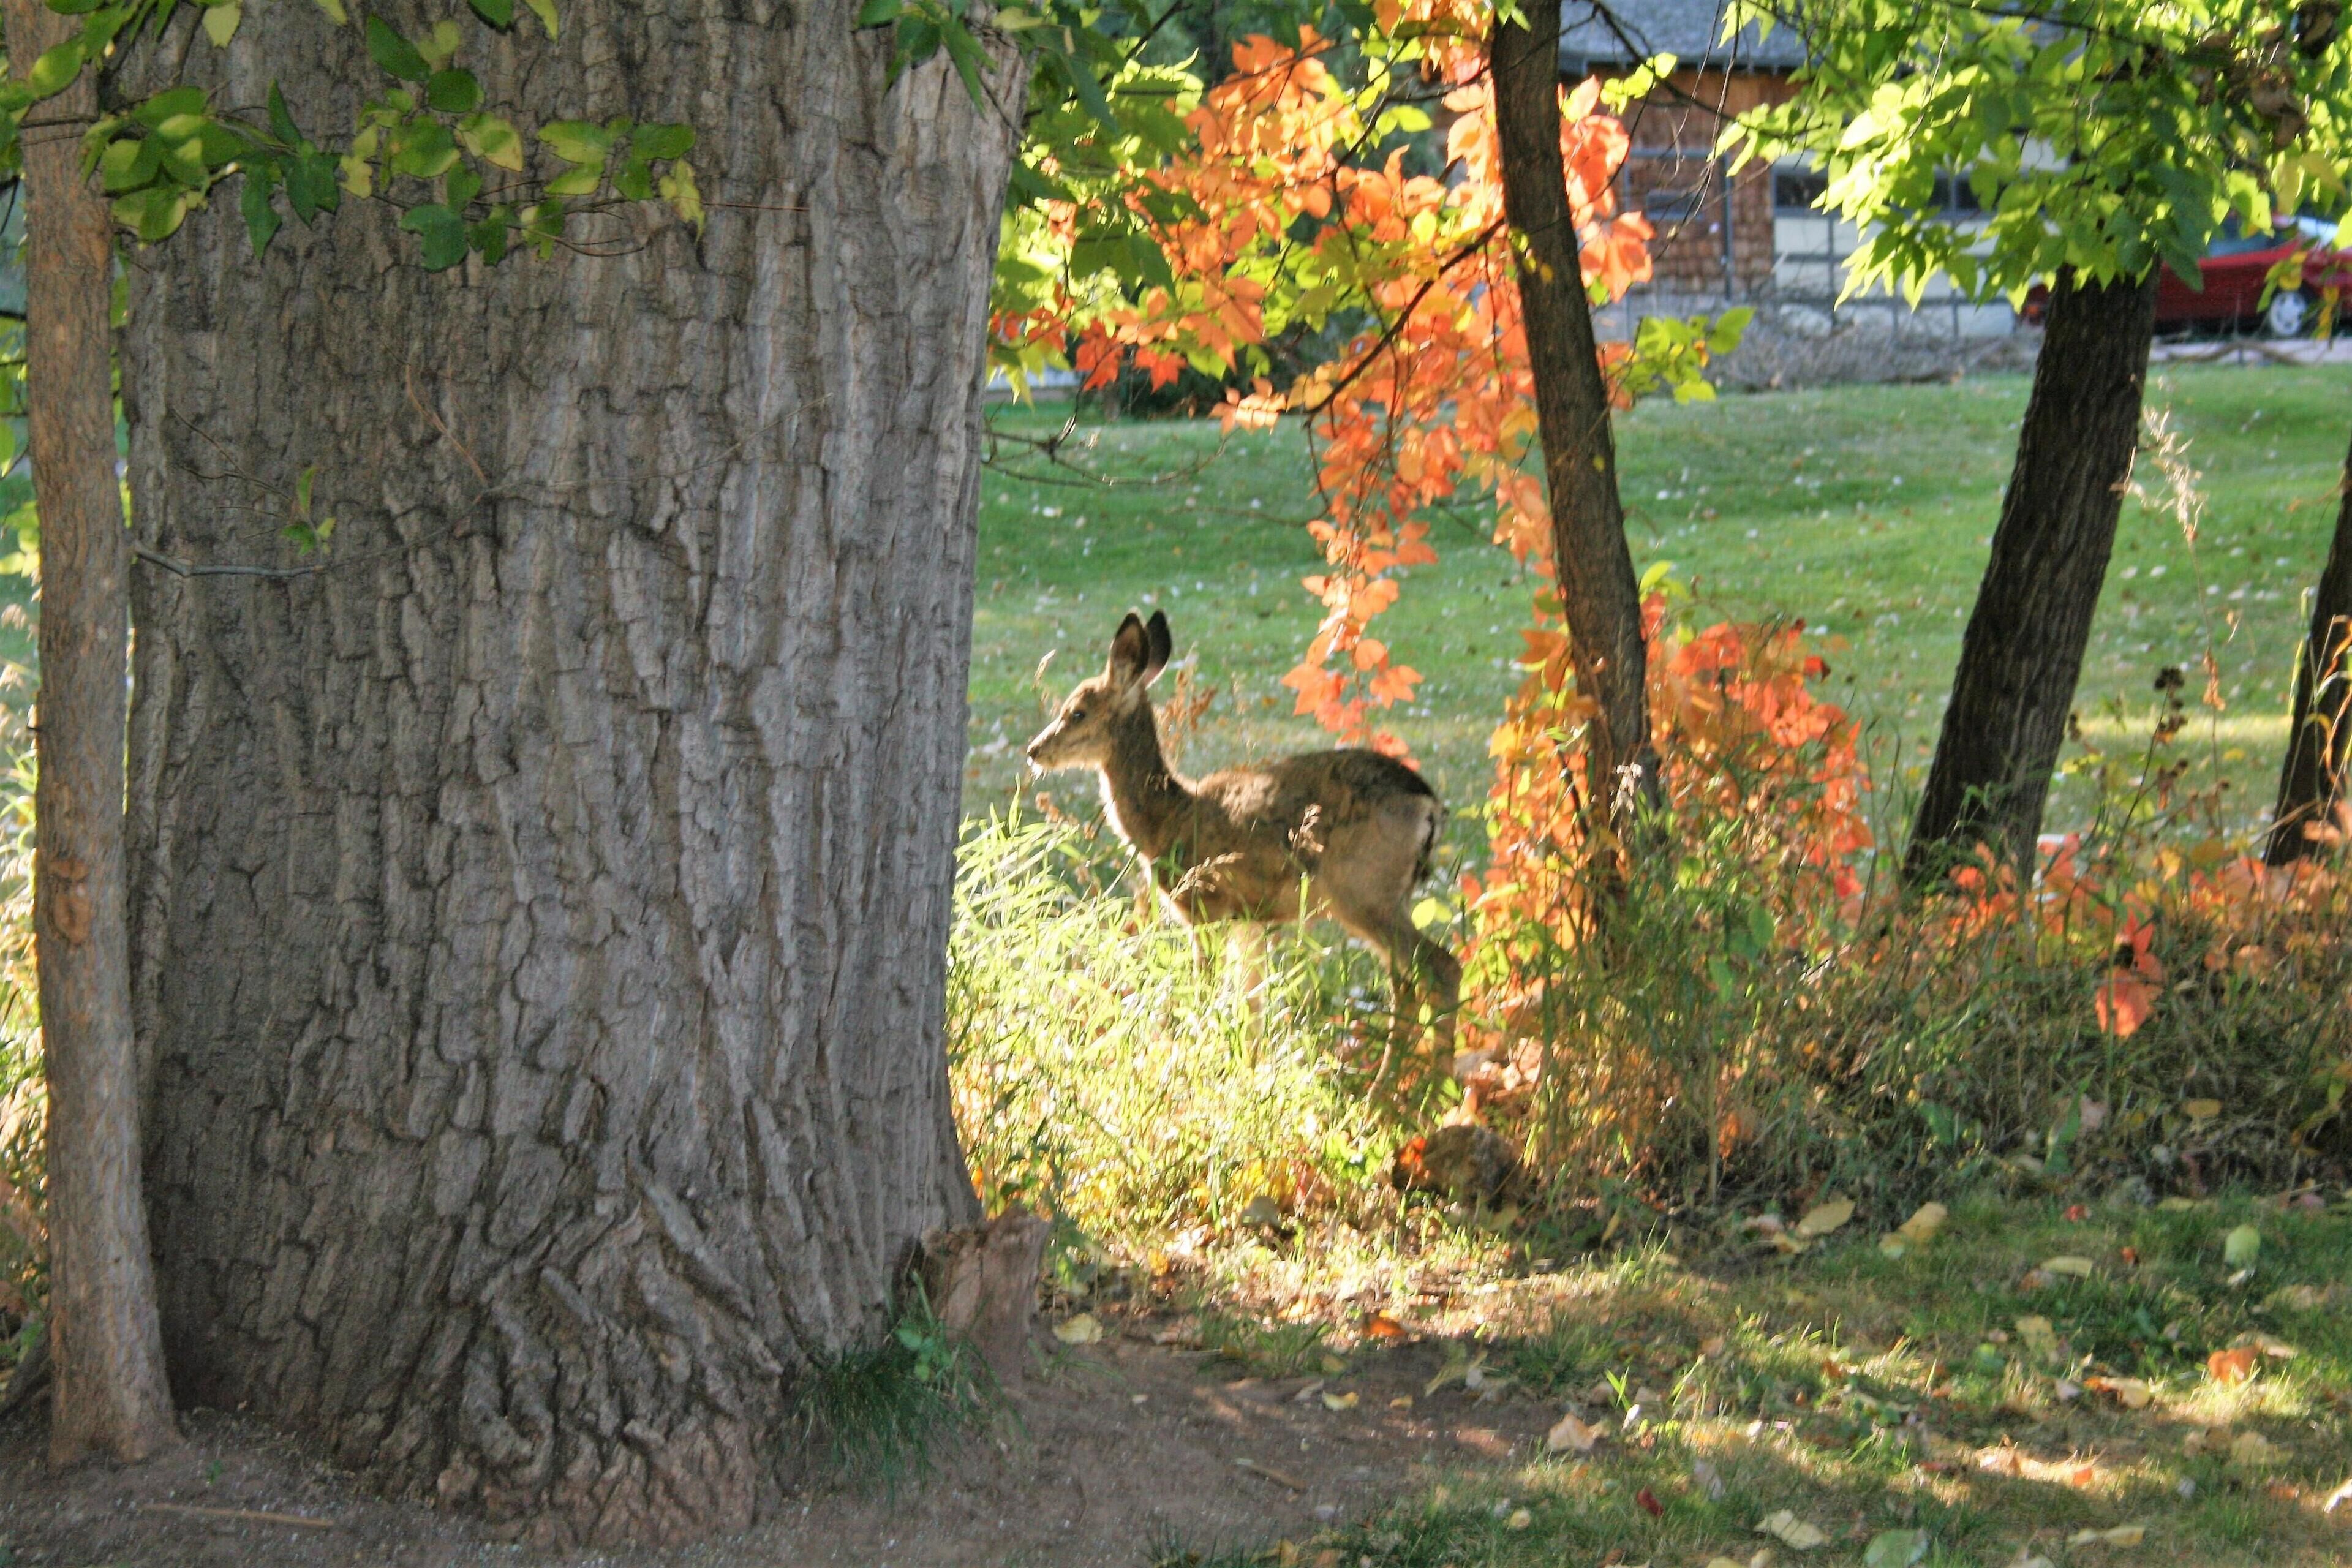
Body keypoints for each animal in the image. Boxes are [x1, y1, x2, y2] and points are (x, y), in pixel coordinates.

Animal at [1025, 609, 1460, 1049]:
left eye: (1077, 712)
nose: (1034, 750)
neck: (1166, 819)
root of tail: (1429, 803)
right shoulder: (1248, 921)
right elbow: (1252, 1009)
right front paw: (1248, 1061)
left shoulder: (1204, 904)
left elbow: (1204, 993)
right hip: (1388, 894)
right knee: (1407, 980)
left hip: (1362, 887)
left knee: (1440, 968)